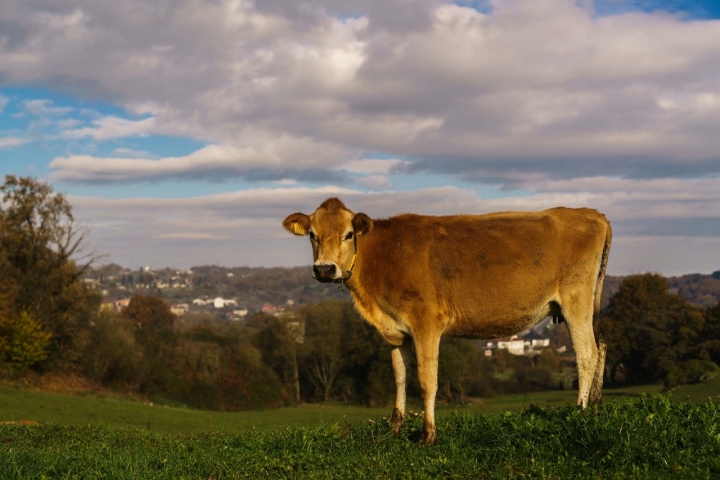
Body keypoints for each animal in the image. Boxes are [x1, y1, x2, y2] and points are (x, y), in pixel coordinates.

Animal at [283, 198, 611, 445]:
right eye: (312, 235)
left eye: (349, 234)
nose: (325, 269)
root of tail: (590, 213)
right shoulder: (396, 331)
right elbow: (400, 377)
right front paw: (395, 429)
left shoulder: (426, 323)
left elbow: (427, 380)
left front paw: (428, 435)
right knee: (602, 348)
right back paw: (595, 407)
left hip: (576, 300)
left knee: (587, 354)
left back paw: (581, 412)